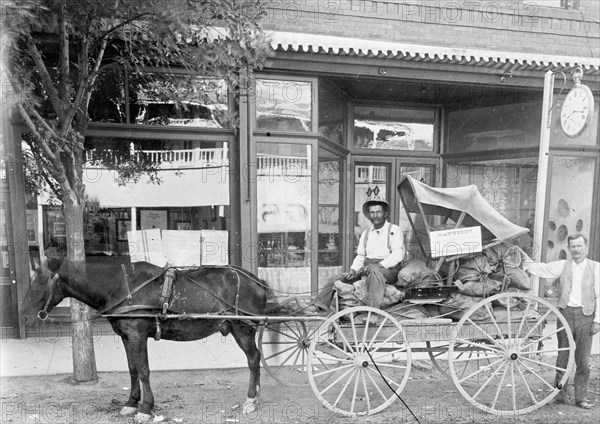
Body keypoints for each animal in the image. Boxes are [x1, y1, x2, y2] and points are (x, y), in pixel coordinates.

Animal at [20, 256, 270, 422]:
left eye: (40, 283)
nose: (24, 315)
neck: (120, 286)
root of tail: (256, 280)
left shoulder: (137, 335)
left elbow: (143, 370)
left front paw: (146, 408)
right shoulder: (126, 336)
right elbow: (132, 370)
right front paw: (132, 403)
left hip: (243, 329)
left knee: (253, 359)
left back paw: (251, 399)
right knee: (255, 359)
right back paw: (256, 394)